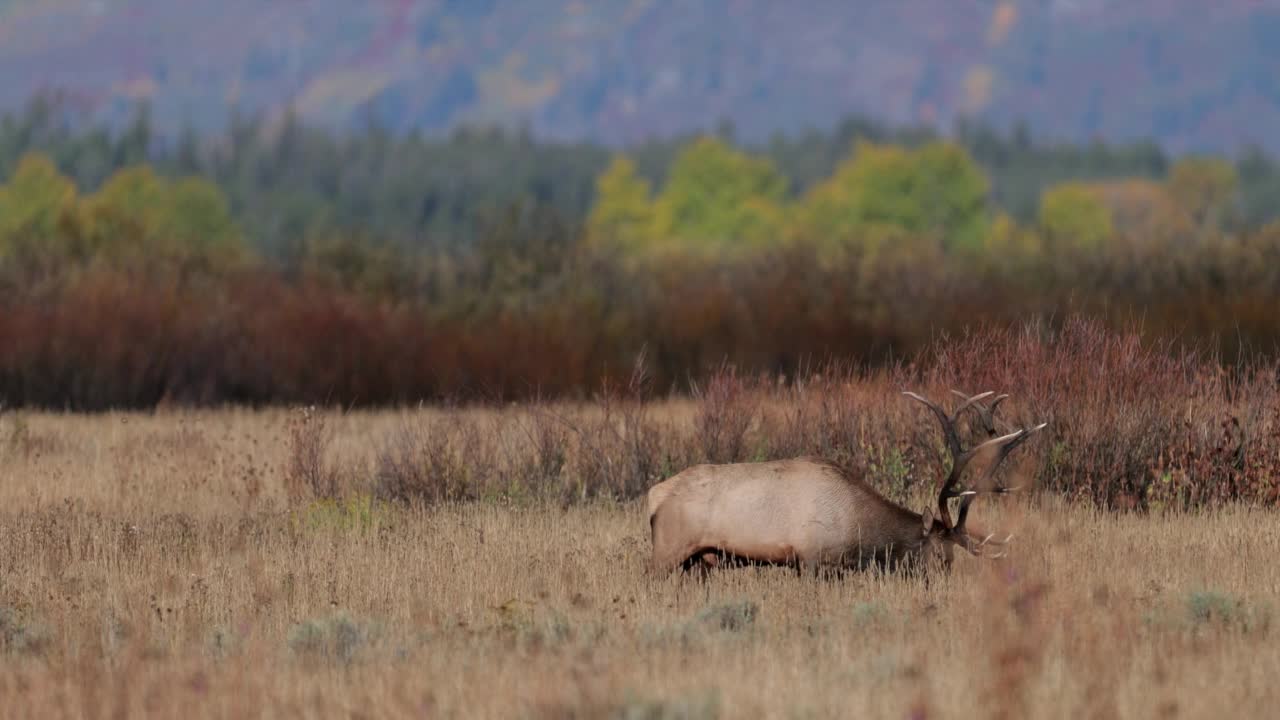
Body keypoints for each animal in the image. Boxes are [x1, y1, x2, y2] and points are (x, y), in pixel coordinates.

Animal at [645, 386, 1044, 571]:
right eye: (934, 555)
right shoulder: (809, 559)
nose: (940, 583)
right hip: (667, 552)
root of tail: (654, 495)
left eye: (951, 560)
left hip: (700, 562)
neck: (856, 529)